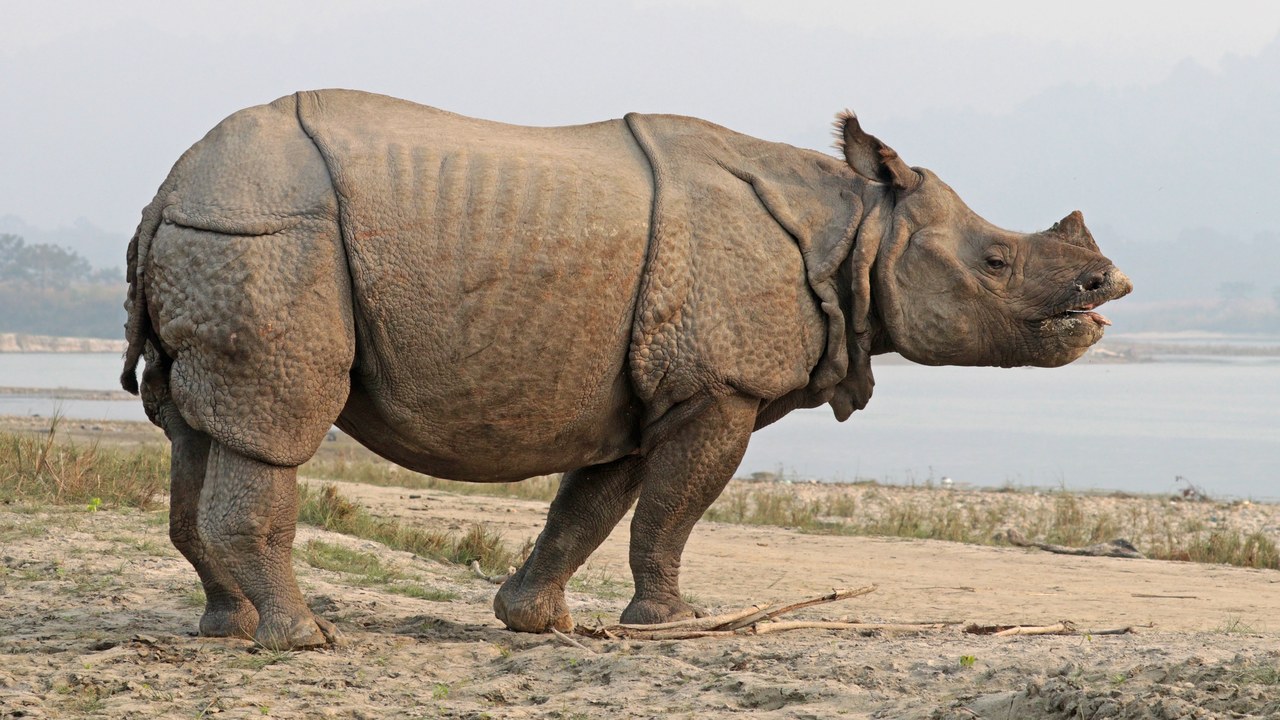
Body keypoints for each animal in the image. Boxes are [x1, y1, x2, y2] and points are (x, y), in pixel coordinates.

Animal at [121, 89, 1130, 650]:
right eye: (996, 262)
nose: (1107, 285)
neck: (857, 228)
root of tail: (168, 187)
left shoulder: (643, 392)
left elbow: (594, 506)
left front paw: (537, 622)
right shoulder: (721, 386)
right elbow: (675, 508)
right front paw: (676, 627)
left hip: (221, 236)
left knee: (196, 433)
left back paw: (228, 631)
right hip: (269, 235)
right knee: (275, 428)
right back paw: (305, 641)